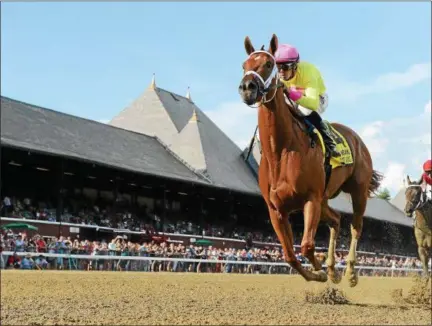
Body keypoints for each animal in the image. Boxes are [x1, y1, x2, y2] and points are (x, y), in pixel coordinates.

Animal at [238, 33, 384, 288]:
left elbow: (306, 246)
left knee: (356, 227)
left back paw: (350, 272)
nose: (247, 87)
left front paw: (322, 270)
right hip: (326, 198)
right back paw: (333, 268)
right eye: (244, 65)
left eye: (269, 64)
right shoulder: (276, 209)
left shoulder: (311, 200)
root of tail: (357, 138)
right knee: (336, 220)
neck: (281, 151)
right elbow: (289, 255)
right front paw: (321, 272)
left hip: (357, 190)